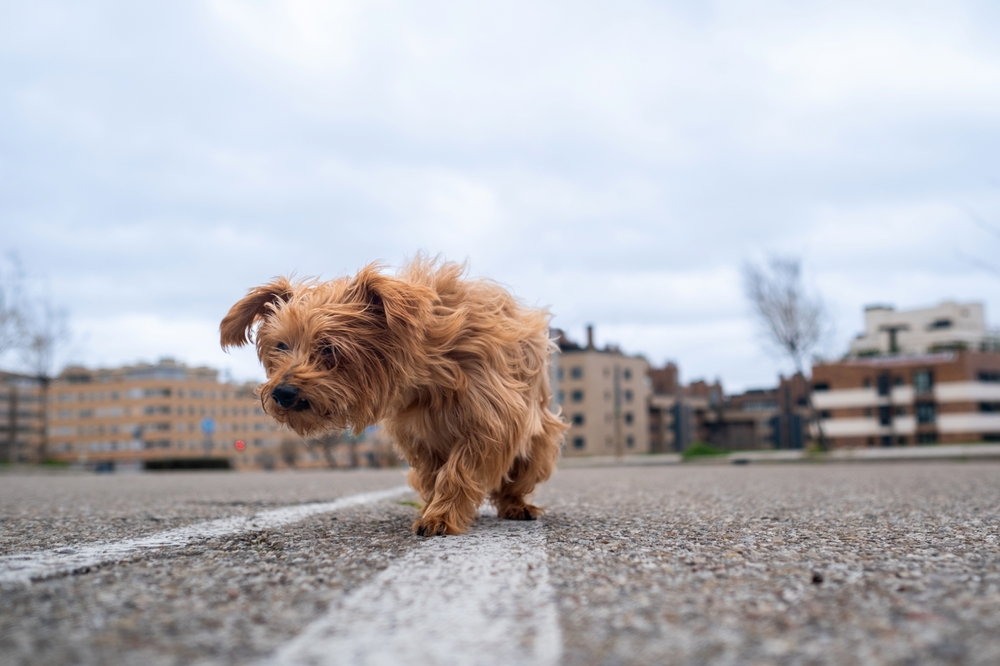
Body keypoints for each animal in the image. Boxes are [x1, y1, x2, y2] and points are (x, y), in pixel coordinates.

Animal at [220, 255, 568, 536]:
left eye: (329, 348)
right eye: (281, 346)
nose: (282, 392)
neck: (431, 371)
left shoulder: (489, 424)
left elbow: (458, 471)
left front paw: (441, 516)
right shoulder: (418, 437)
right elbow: (433, 473)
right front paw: (435, 507)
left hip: (539, 445)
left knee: (516, 479)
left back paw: (516, 505)